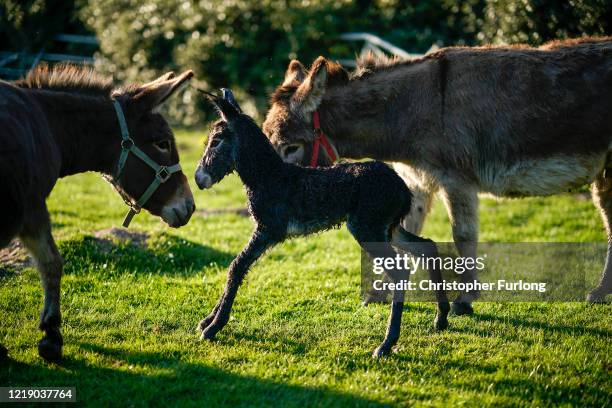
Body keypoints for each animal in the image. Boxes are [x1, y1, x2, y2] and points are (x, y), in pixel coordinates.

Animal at [196, 90, 450, 356]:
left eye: (216, 142)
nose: (199, 179)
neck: (268, 176)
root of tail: (402, 188)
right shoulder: (266, 231)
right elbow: (237, 266)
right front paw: (208, 320)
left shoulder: (269, 229)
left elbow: (236, 266)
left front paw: (212, 328)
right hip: (387, 228)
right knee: (426, 246)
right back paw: (441, 318)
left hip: (367, 228)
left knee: (401, 269)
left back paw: (386, 344)